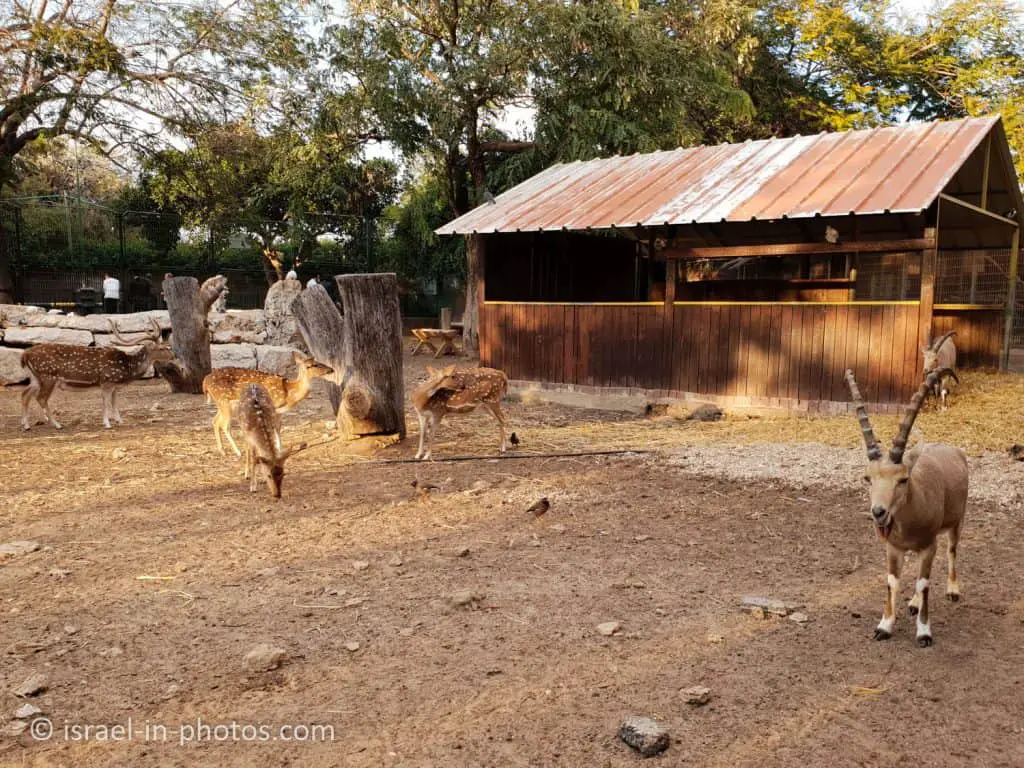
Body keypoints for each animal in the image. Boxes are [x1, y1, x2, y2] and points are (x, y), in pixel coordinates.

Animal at [20, 315, 165, 430]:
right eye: (162, 348)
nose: (171, 357)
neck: (126, 368)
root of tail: (25, 354)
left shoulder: (114, 385)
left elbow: (114, 401)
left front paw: (119, 420)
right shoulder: (106, 381)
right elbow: (106, 402)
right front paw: (107, 424)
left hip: (36, 377)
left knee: (25, 393)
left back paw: (26, 425)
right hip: (48, 376)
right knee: (41, 398)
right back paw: (57, 424)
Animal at [203, 354, 335, 456]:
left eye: (318, 362)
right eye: (313, 365)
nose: (331, 369)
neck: (289, 393)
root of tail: (205, 382)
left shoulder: (279, 412)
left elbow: (278, 428)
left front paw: (280, 449)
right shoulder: (271, 406)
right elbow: (271, 428)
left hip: (225, 404)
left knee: (215, 421)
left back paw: (223, 451)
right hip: (224, 401)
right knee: (225, 425)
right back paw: (238, 452)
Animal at [843, 366, 970, 651]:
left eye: (902, 479)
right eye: (868, 478)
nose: (879, 513)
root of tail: (952, 450)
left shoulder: (929, 545)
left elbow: (924, 583)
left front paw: (924, 633)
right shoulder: (893, 548)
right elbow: (892, 581)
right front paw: (884, 627)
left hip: (957, 521)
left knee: (952, 550)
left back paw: (952, 590)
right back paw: (912, 604)